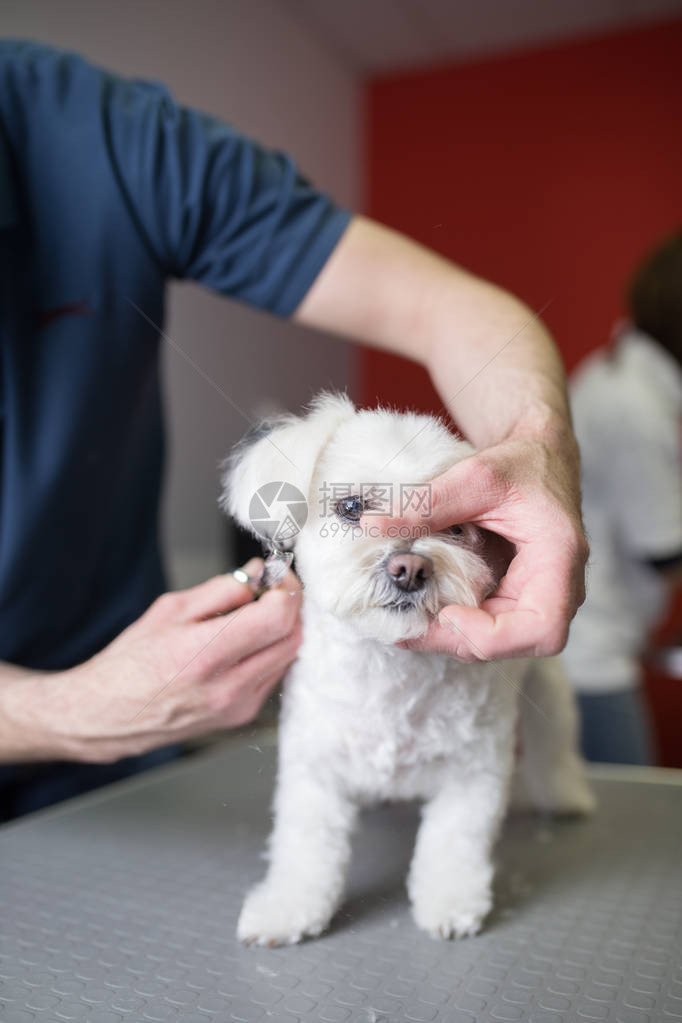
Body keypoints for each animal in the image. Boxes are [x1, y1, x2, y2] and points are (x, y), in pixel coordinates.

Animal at [222, 390, 593, 941]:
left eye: (456, 528)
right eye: (351, 507)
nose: (410, 568)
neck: (389, 669)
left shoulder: (474, 769)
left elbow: (454, 841)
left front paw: (450, 902)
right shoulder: (314, 768)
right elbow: (306, 845)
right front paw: (288, 907)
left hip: (547, 689)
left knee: (554, 745)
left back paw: (566, 794)